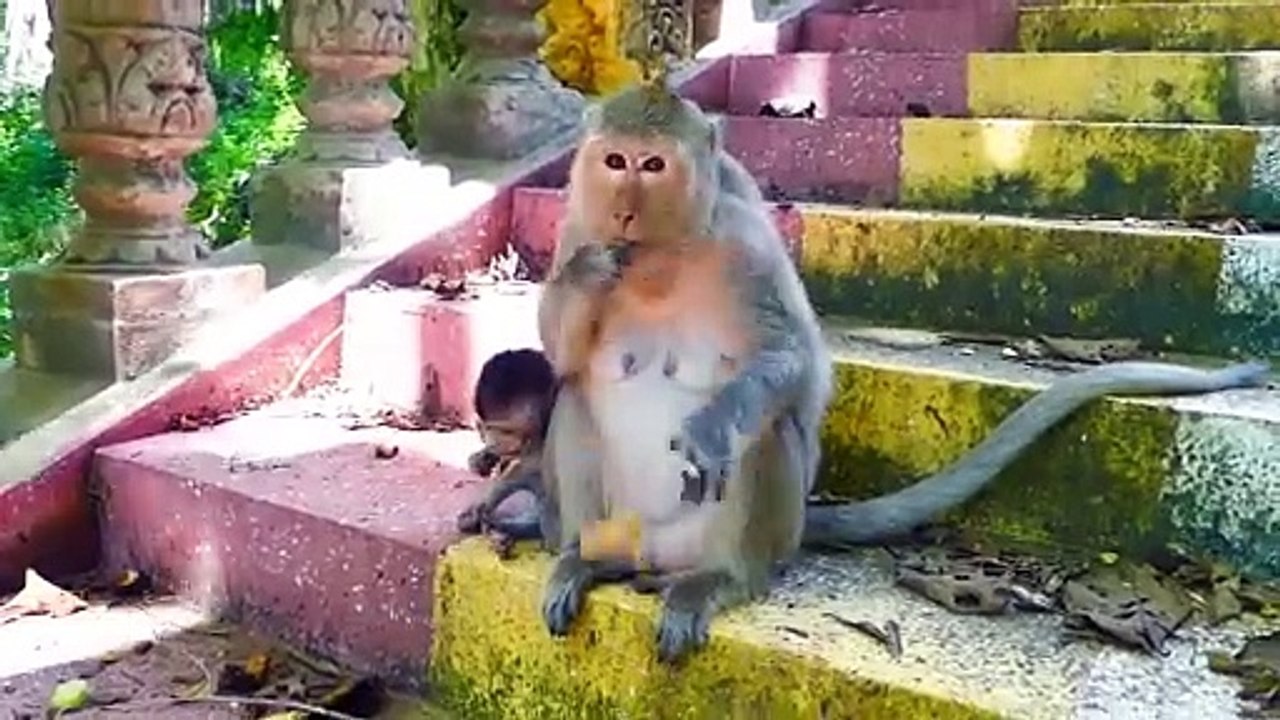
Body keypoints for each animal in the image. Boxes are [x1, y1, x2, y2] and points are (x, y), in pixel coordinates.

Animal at [533, 81, 1272, 665]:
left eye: (653, 165)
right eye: (615, 161)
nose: (625, 207)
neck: (659, 258)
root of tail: (656, 554)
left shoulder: (743, 243)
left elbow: (791, 362)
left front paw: (713, 425)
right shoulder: (575, 224)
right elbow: (562, 355)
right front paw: (592, 273)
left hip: (745, 538)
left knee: (768, 430)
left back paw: (722, 579)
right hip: (630, 524)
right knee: (575, 400)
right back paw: (585, 559)